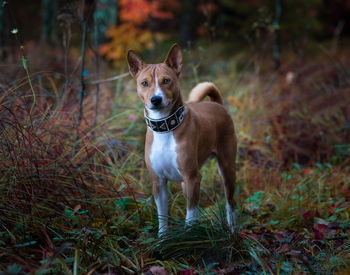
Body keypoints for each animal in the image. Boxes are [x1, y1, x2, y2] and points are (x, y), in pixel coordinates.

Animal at [127, 44, 237, 236]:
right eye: (144, 83)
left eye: (166, 80)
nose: (155, 99)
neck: (165, 129)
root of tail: (217, 104)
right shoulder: (159, 181)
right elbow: (163, 216)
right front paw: (163, 239)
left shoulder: (192, 177)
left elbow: (190, 217)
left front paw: (190, 237)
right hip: (187, 183)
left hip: (226, 169)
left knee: (230, 203)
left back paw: (233, 230)